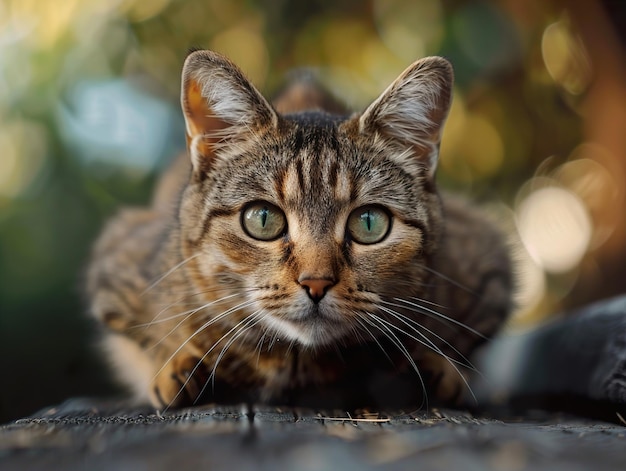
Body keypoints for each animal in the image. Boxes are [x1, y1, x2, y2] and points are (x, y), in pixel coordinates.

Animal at [85, 49, 510, 412]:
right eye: (262, 220)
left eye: (369, 223)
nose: (316, 283)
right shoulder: (115, 264)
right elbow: (155, 339)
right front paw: (177, 364)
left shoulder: (489, 266)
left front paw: (435, 365)